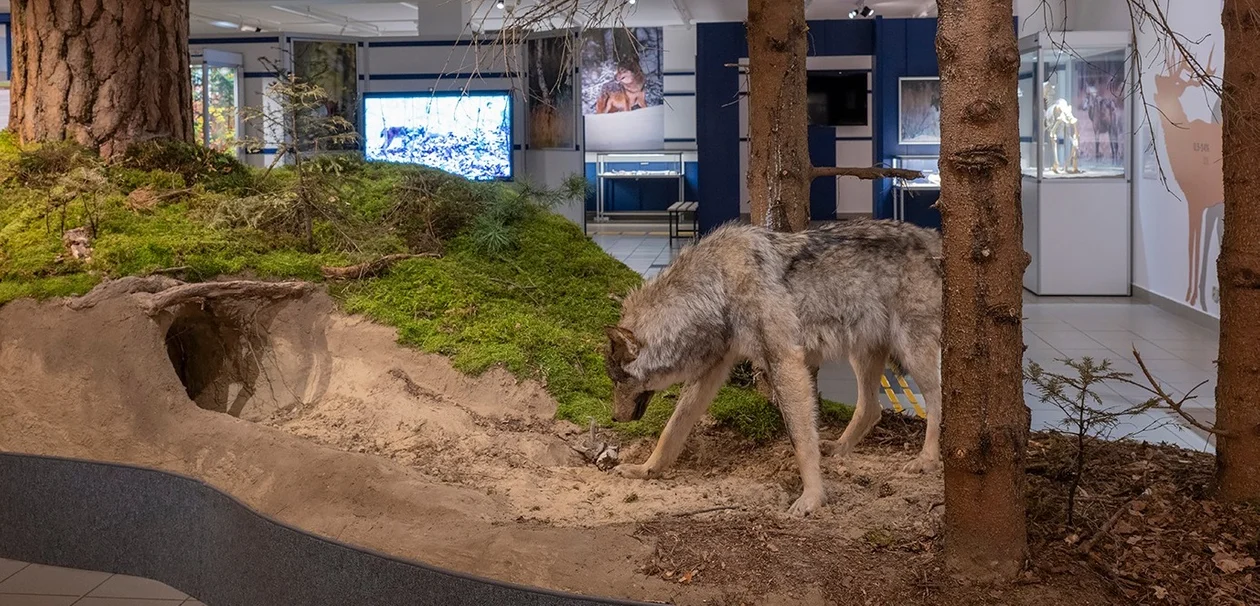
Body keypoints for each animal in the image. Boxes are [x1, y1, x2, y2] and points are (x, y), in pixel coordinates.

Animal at [604, 217, 942, 514]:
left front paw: (812, 497)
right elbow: (672, 429)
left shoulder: (786, 362)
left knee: (936, 400)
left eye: (617, 380)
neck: (717, 285)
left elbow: (800, 440)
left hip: (913, 351)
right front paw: (646, 469)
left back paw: (927, 460)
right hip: (862, 355)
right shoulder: (712, 372)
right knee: (871, 408)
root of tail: (932, 236)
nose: (614, 418)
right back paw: (839, 448)